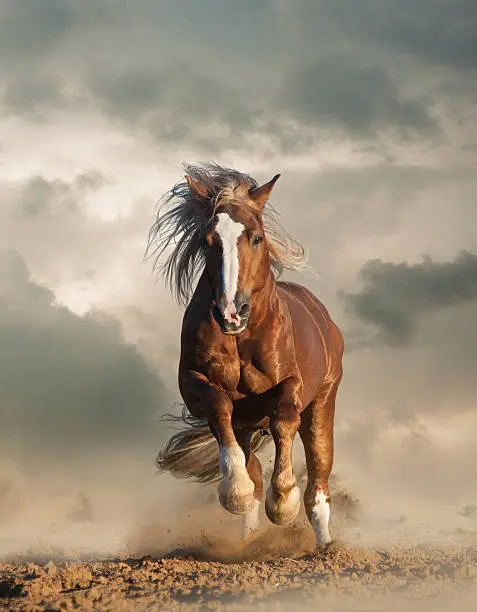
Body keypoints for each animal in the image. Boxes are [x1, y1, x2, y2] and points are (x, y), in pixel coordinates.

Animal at [147, 161, 344, 544]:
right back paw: (248, 537)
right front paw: (235, 492)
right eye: (208, 240)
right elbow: (219, 406)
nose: (231, 312)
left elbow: (284, 418)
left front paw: (282, 503)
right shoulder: (195, 384)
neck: (242, 339)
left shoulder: (292, 385)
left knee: (319, 478)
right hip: (247, 426)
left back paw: (325, 544)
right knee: (250, 464)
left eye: (256, 237)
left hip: (323, 402)